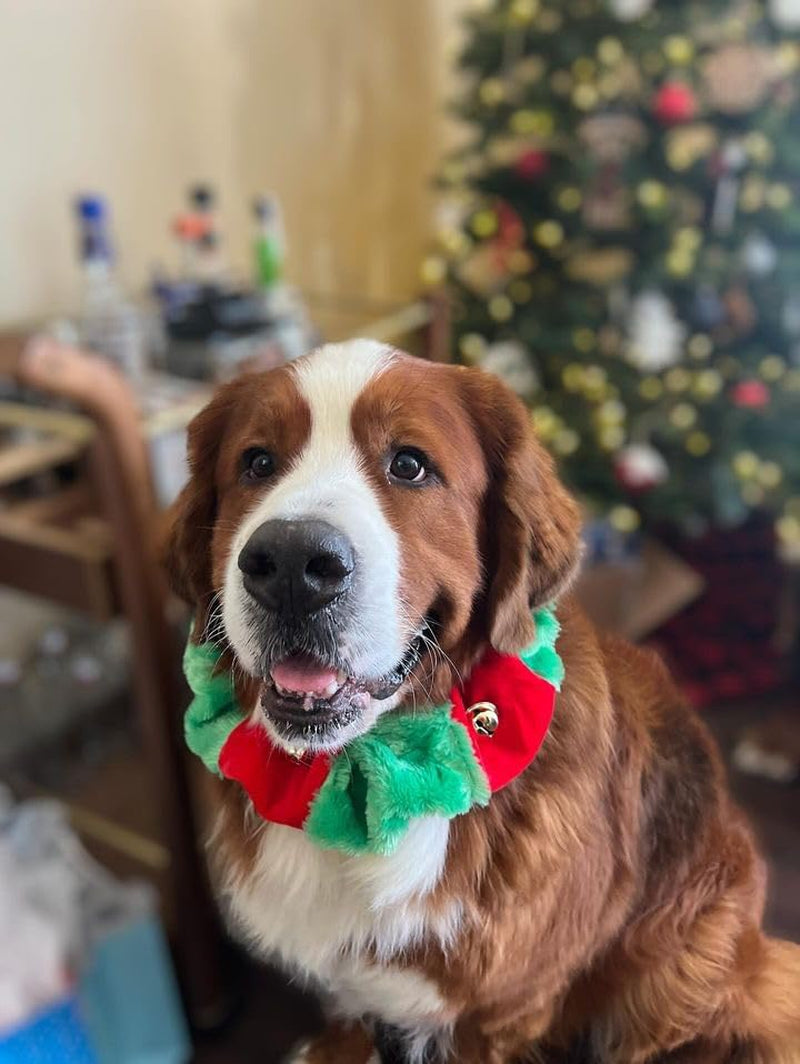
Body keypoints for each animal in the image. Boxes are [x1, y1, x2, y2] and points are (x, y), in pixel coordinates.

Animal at [163, 342, 800, 1064]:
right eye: (257, 463)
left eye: (409, 464)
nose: (292, 564)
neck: (362, 765)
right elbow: (349, 1008)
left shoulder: (500, 1009)